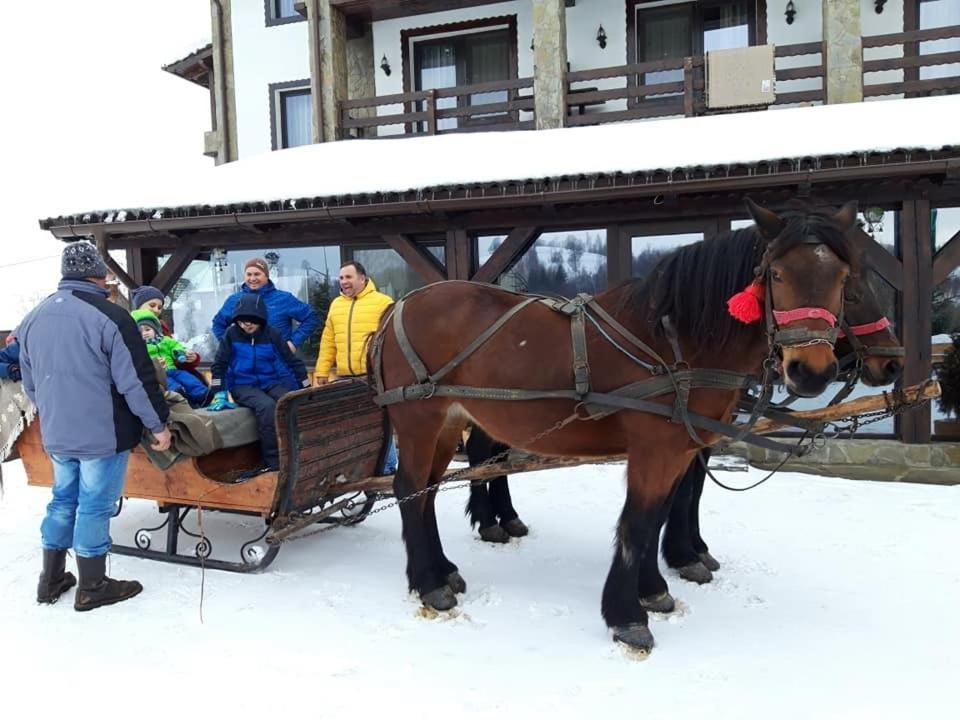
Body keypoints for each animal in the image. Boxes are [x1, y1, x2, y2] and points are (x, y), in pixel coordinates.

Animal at [372, 198, 860, 652]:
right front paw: (628, 616)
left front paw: (653, 589)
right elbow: (639, 523)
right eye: (776, 275)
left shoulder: (681, 448)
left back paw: (443, 570)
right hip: (420, 421)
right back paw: (429, 583)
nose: (812, 372)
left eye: (842, 278)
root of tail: (398, 307)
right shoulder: (655, 448)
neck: (675, 343)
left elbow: (660, 514)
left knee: (426, 492)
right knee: (408, 487)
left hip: (447, 423)